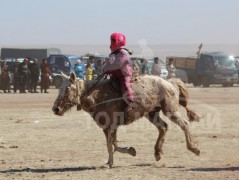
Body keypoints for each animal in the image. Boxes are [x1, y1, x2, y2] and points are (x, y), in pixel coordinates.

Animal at [51, 72, 200, 168]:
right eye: (59, 89)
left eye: (68, 89)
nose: (55, 109)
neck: (96, 94)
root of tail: (169, 82)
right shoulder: (108, 127)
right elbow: (113, 145)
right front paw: (129, 151)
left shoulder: (111, 126)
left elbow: (111, 145)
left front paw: (109, 164)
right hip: (151, 113)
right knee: (163, 127)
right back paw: (157, 153)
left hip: (170, 110)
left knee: (184, 124)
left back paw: (194, 148)